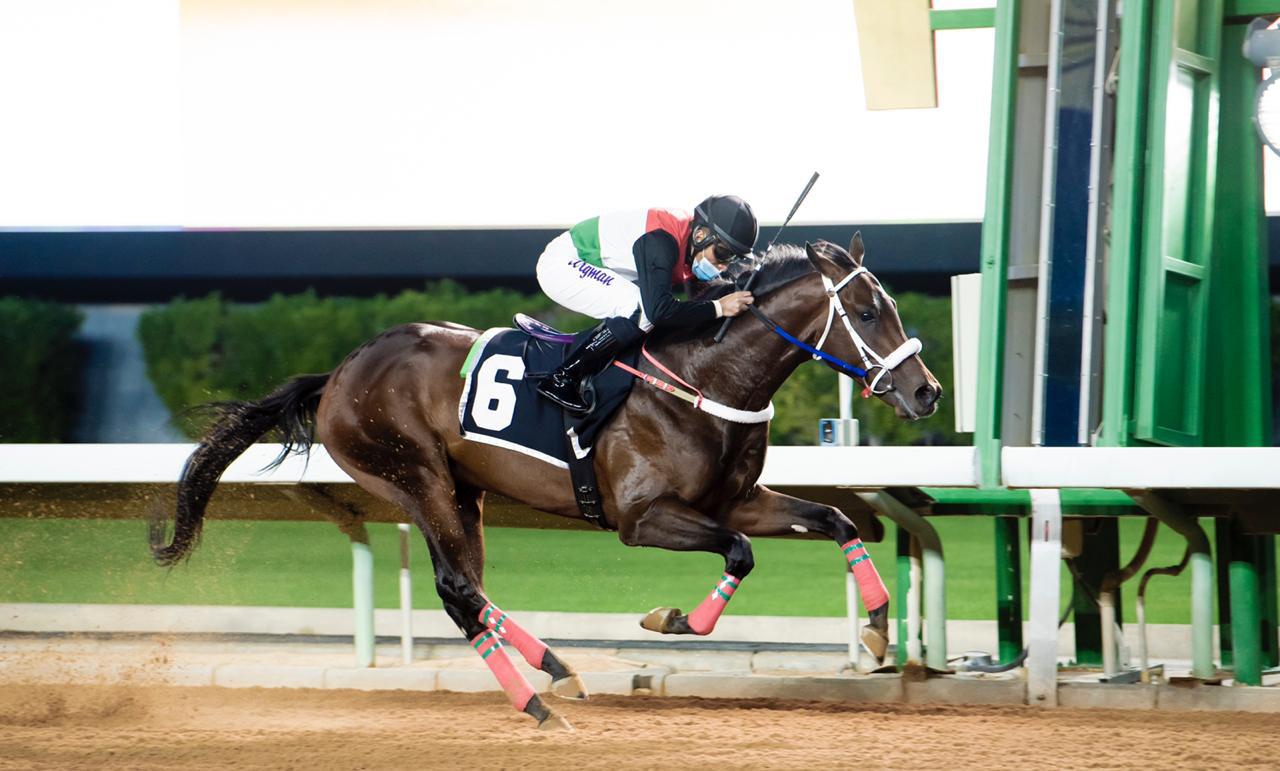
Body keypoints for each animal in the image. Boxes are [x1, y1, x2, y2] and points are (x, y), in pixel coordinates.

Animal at [154, 235, 947, 727]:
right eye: (868, 309)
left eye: (892, 305)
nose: (926, 391)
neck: (705, 375)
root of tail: (341, 371)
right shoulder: (641, 519)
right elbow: (740, 553)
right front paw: (672, 619)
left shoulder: (739, 500)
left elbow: (835, 522)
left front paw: (878, 628)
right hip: (414, 476)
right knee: (458, 588)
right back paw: (542, 694)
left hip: (462, 491)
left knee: (468, 591)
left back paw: (553, 675)